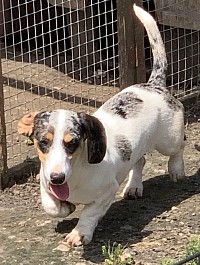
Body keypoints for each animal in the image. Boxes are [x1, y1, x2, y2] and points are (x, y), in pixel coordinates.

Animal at [18, 4, 185, 245]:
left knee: (179, 147)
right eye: (43, 142)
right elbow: (51, 205)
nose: (57, 178)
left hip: (168, 140)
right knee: (140, 160)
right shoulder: (44, 182)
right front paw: (65, 208)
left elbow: (90, 212)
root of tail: (154, 85)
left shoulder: (107, 192)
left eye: (73, 143)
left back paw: (176, 169)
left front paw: (79, 233)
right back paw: (134, 186)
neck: (75, 176)